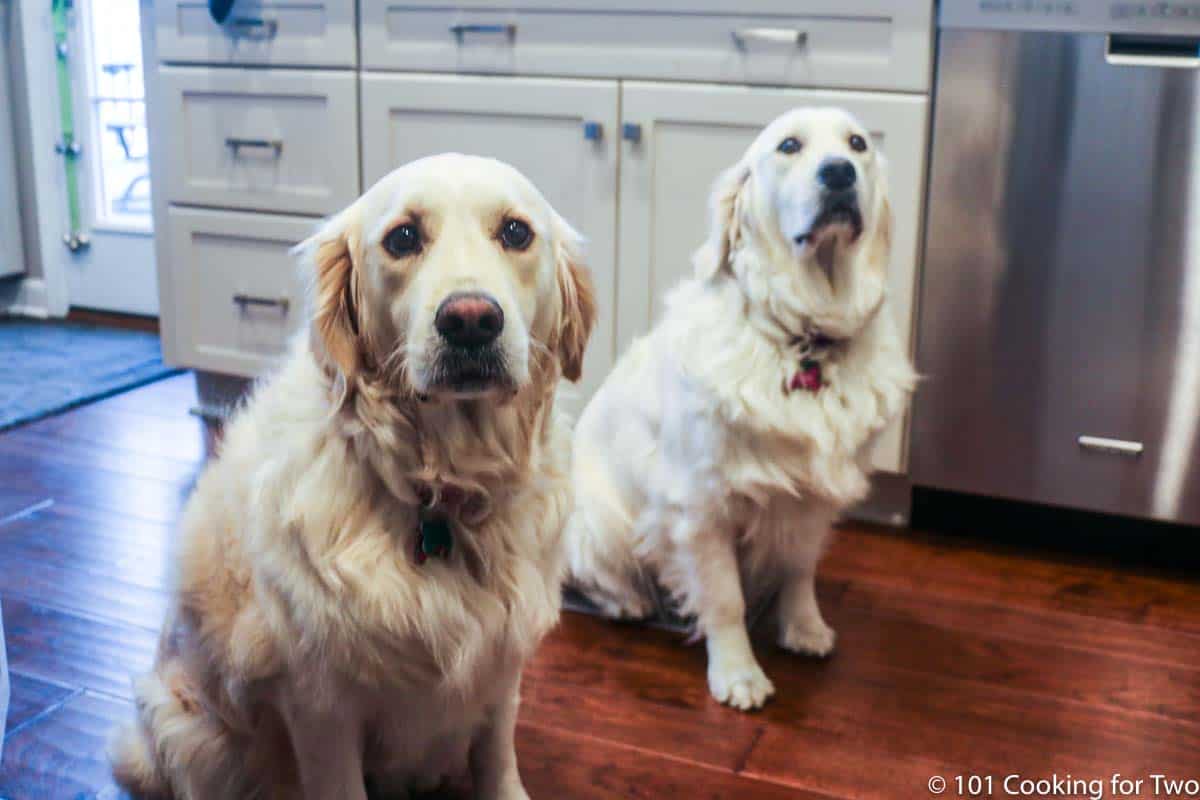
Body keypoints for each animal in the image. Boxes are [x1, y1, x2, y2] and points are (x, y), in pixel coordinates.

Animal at [110, 153, 597, 796]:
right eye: (404, 238)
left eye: (516, 232)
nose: (470, 320)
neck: (442, 488)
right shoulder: (321, 708)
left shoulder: (500, 665)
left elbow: (496, 758)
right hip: (191, 734)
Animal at [566, 107, 912, 714]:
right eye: (789, 146)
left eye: (857, 144)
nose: (839, 173)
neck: (803, 338)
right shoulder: (701, 504)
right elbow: (724, 599)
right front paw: (738, 673)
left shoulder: (812, 499)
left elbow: (799, 570)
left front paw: (804, 628)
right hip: (601, 522)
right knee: (591, 574)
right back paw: (627, 601)